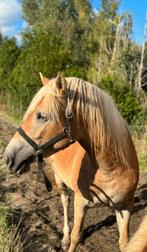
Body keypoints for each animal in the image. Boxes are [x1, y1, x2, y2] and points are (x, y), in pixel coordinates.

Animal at [3, 72, 139, 251]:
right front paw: (70, 240)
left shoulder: (125, 208)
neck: (111, 169)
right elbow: (76, 236)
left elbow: (125, 243)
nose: (8, 157)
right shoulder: (81, 203)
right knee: (65, 202)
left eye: (41, 116)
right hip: (60, 181)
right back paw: (64, 238)